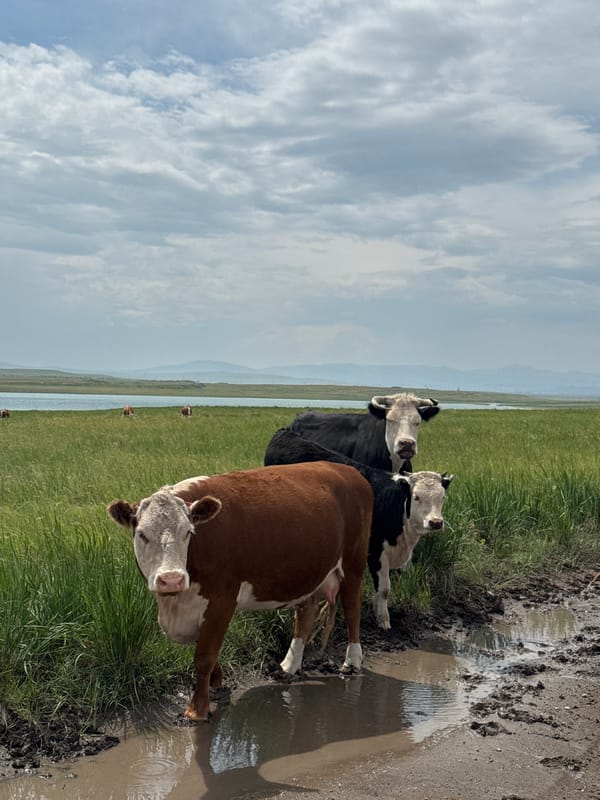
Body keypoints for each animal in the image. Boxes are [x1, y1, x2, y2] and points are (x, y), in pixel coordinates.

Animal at [107, 461, 373, 721]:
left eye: (188, 532)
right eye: (142, 534)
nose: (171, 580)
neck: (175, 605)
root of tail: (347, 469)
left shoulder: (222, 600)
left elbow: (204, 656)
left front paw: (197, 709)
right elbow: (205, 648)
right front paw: (216, 681)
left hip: (353, 563)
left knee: (352, 609)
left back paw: (351, 661)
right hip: (311, 573)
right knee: (306, 613)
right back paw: (288, 666)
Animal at [264, 427, 453, 630]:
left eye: (442, 497)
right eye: (416, 497)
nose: (436, 522)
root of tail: (285, 433)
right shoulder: (376, 550)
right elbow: (384, 589)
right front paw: (383, 619)